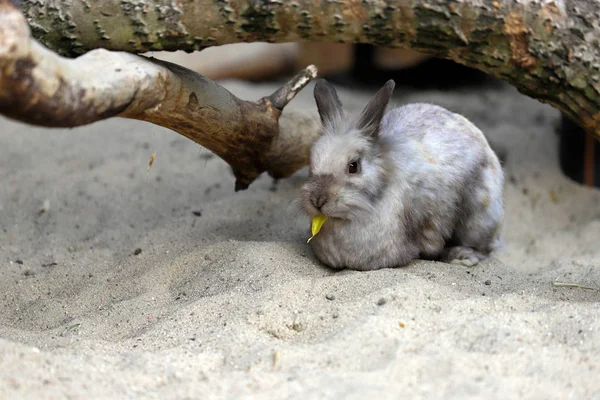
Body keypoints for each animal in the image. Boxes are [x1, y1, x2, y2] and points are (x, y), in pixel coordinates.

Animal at [298, 77, 504, 272]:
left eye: (353, 166)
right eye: (312, 162)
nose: (317, 200)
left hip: (478, 218)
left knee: (484, 247)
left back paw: (461, 257)